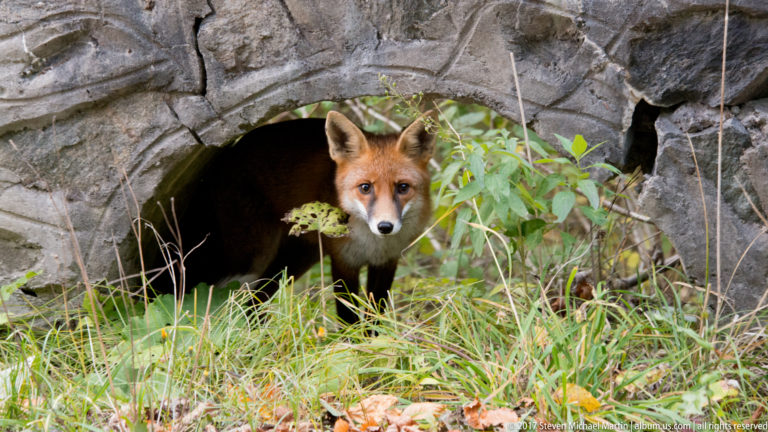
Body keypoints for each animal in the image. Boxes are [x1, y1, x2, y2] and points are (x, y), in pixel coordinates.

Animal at [175, 110, 437, 324]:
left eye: (402, 187)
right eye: (365, 187)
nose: (385, 226)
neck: (372, 244)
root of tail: (223, 158)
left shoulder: (386, 262)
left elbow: (374, 318)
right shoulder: (344, 262)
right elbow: (349, 319)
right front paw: (353, 349)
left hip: (295, 260)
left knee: (255, 302)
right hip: (246, 259)